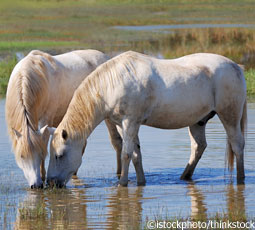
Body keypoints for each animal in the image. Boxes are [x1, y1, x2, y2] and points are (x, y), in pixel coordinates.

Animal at [4, 49, 126, 188]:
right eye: (22, 156)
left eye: (41, 154)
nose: (36, 185)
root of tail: (105, 57)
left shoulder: (45, 120)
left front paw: (43, 177)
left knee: (116, 142)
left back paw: (118, 174)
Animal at [47, 50, 247, 187]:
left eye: (59, 155)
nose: (51, 183)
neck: (112, 84)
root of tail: (236, 66)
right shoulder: (124, 124)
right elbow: (136, 154)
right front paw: (141, 182)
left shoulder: (130, 122)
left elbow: (127, 153)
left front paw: (122, 184)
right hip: (198, 121)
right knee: (198, 147)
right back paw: (184, 177)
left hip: (229, 115)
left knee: (237, 145)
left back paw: (240, 179)